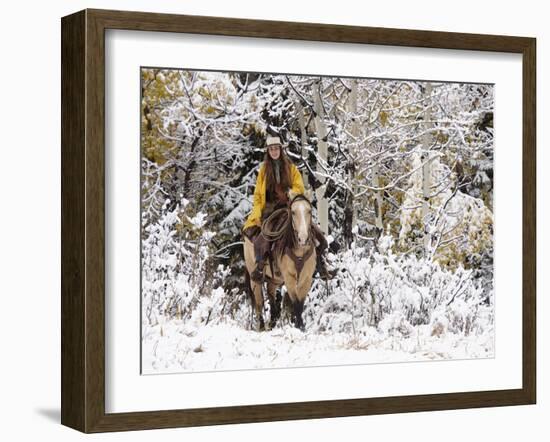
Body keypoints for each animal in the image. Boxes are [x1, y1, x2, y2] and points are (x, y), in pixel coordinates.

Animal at [244, 191, 316, 332]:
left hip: (275, 279)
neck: (299, 251)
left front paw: (301, 327)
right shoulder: (289, 278)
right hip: (254, 278)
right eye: (293, 212)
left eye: (309, 211)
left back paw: (273, 320)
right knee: (259, 303)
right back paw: (262, 326)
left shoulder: (306, 278)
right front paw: (298, 326)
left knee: (271, 296)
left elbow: (300, 303)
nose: (303, 239)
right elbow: (296, 302)